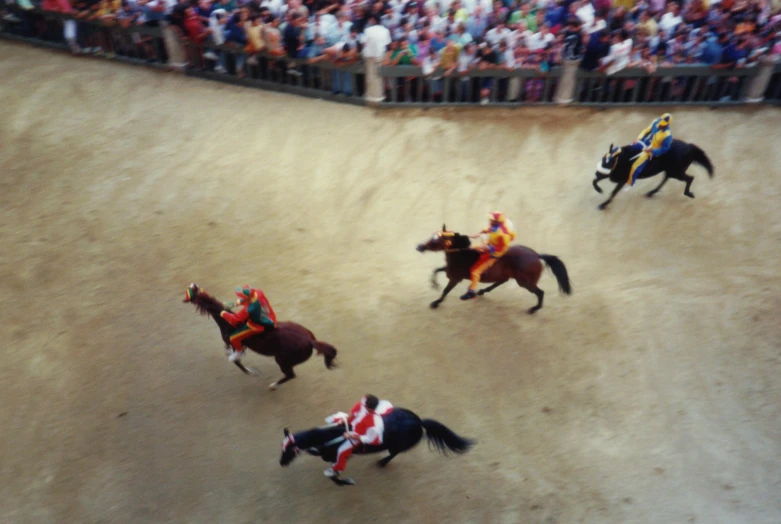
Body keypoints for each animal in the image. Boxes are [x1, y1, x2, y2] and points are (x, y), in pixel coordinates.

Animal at [184, 282, 340, 388]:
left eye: (190, 294)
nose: (183, 300)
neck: (229, 324)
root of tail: (310, 341)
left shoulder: (236, 344)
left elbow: (236, 361)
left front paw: (252, 372)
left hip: (282, 360)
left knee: (290, 375)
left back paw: (273, 386)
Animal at [280, 410, 476, 488]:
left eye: (288, 450)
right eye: (282, 449)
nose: (281, 463)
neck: (328, 437)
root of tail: (420, 422)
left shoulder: (338, 459)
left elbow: (334, 476)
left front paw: (347, 482)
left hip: (396, 446)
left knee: (393, 454)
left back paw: (381, 463)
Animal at [414, 224, 572, 314]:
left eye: (437, 240)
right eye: (432, 236)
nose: (419, 247)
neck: (462, 254)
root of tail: (537, 255)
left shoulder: (455, 278)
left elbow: (446, 290)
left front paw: (436, 303)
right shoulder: (450, 270)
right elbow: (436, 270)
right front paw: (434, 284)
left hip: (525, 282)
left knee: (540, 292)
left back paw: (534, 309)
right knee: (502, 281)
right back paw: (482, 291)